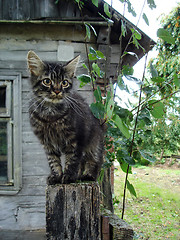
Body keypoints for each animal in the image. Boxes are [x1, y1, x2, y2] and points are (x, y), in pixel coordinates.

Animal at [26, 51, 104, 184]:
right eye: (47, 81)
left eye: (64, 83)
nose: (57, 91)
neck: (51, 114)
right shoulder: (47, 143)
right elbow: (53, 161)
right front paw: (56, 176)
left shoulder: (76, 139)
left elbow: (72, 159)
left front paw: (68, 176)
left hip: (94, 144)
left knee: (93, 161)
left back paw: (88, 176)